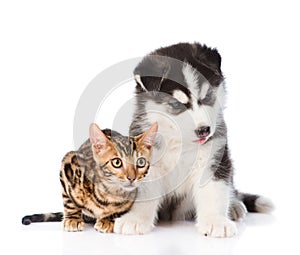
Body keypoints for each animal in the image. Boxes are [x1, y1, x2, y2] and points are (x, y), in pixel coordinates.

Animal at [22, 122, 158, 232]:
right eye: (117, 162)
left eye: (141, 162)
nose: (132, 178)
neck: (109, 195)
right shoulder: (68, 163)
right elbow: (68, 201)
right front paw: (72, 219)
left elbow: (118, 211)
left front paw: (108, 220)